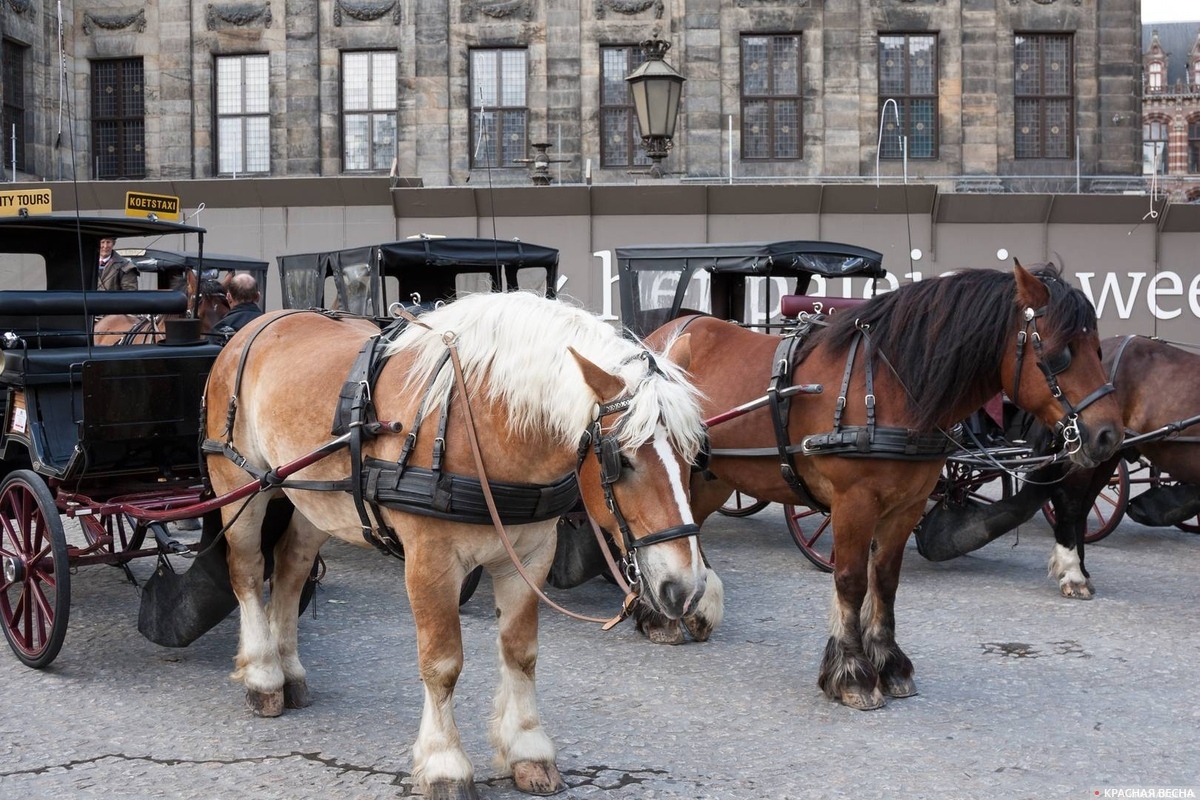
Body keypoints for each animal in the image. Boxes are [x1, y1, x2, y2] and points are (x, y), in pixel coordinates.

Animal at [204, 293, 710, 800]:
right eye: (620, 458)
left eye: (693, 451)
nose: (684, 588)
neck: (483, 424)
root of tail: (261, 323)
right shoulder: (432, 562)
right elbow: (442, 664)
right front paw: (444, 763)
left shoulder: (530, 556)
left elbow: (521, 654)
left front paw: (528, 749)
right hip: (241, 485)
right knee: (247, 570)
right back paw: (263, 674)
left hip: (318, 500)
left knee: (291, 569)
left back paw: (289, 670)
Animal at [648, 266, 1123, 710]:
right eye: (1061, 352)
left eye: (1100, 349)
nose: (1108, 436)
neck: (892, 385)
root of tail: (669, 332)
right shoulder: (853, 503)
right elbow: (851, 581)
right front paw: (853, 674)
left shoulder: (906, 507)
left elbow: (886, 580)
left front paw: (890, 664)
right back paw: (658, 615)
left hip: (712, 476)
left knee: (686, 529)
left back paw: (689, 605)